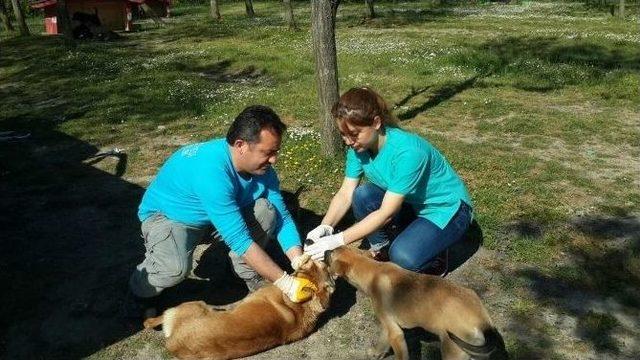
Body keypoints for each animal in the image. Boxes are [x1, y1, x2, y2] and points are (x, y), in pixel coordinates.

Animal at [143, 256, 336, 360]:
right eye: (323, 267)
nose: (324, 258)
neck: (301, 305)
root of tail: (173, 343)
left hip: (195, 304)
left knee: (152, 321)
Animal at [328, 248, 508, 360]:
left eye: (331, 254)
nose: (325, 251)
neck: (373, 271)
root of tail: (483, 321)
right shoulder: (388, 327)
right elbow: (382, 343)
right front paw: (375, 353)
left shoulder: (395, 334)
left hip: (452, 350)